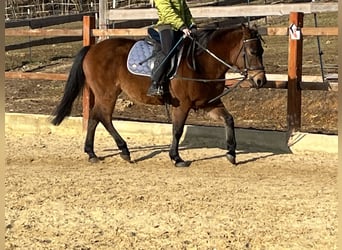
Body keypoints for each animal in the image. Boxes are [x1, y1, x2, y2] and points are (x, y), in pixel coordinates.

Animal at [50, 23, 266, 168]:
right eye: (252, 51)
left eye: (261, 50)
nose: (260, 81)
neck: (202, 62)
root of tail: (92, 48)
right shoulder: (183, 105)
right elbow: (177, 130)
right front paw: (176, 158)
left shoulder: (209, 103)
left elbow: (229, 120)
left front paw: (231, 153)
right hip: (107, 93)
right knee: (104, 117)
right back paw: (124, 150)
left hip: (105, 94)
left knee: (95, 117)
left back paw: (92, 153)